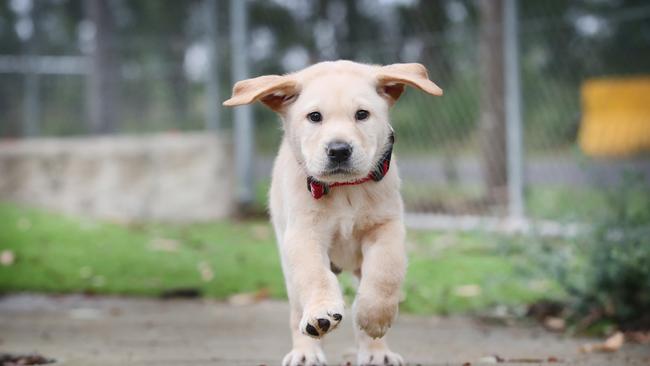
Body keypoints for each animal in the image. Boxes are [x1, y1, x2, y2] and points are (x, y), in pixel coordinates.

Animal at [223, 60, 440, 366]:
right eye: (315, 117)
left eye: (362, 115)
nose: (339, 150)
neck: (345, 190)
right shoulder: (304, 236)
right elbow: (316, 276)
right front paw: (321, 313)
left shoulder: (386, 227)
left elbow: (385, 271)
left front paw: (374, 317)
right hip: (288, 264)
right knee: (297, 311)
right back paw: (306, 351)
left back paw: (377, 353)